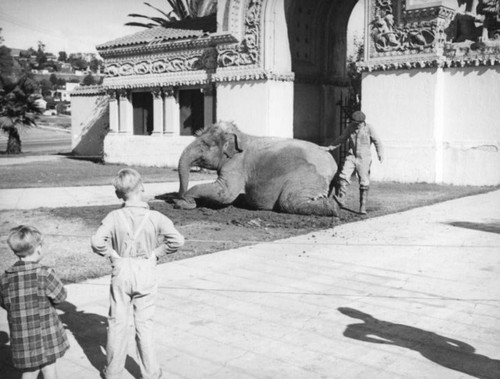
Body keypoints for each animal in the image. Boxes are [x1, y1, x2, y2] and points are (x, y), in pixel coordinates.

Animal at [174, 121, 342, 217]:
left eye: (205, 144)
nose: (177, 198)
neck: (240, 135)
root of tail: (332, 162)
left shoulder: (237, 163)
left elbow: (226, 193)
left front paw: (184, 204)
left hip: (309, 176)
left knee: (288, 201)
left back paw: (333, 208)